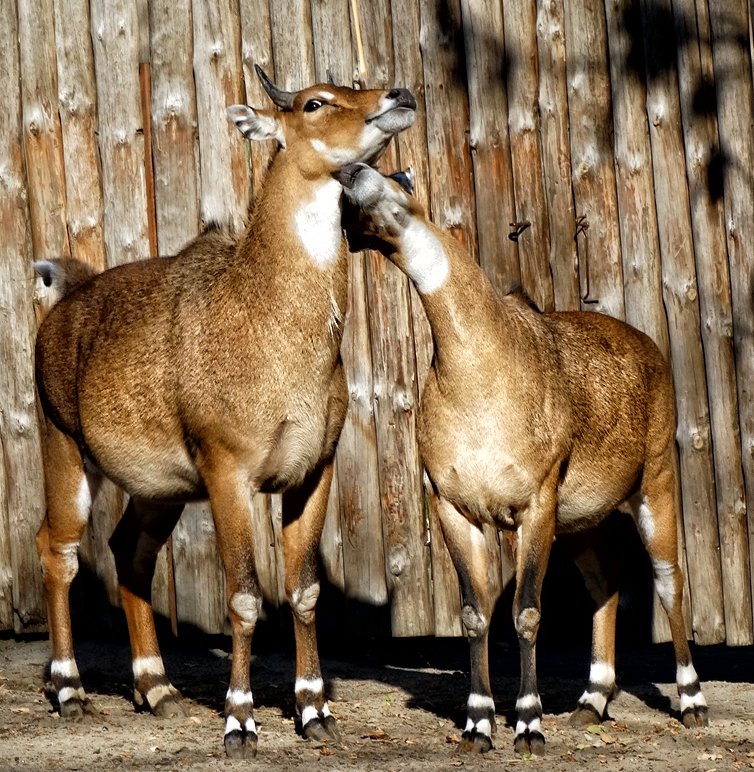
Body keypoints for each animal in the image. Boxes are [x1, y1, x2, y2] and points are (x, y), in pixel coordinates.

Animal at [33, 69, 418, 756]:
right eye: (314, 102)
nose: (399, 95)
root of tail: (63, 302)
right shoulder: (228, 470)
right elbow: (242, 596)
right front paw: (240, 720)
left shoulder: (313, 470)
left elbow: (305, 590)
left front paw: (314, 710)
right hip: (65, 448)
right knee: (59, 550)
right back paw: (71, 691)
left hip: (159, 487)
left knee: (129, 550)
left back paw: (157, 689)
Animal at [338, 164, 708, 752]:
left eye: (402, 182)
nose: (352, 170)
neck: (477, 370)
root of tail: (651, 348)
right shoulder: (455, 506)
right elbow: (475, 613)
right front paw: (478, 725)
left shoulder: (534, 503)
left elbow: (528, 611)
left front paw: (529, 724)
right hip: (580, 520)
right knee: (606, 581)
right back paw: (591, 701)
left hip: (654, 482)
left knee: (669, 579)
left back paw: (692, 702)